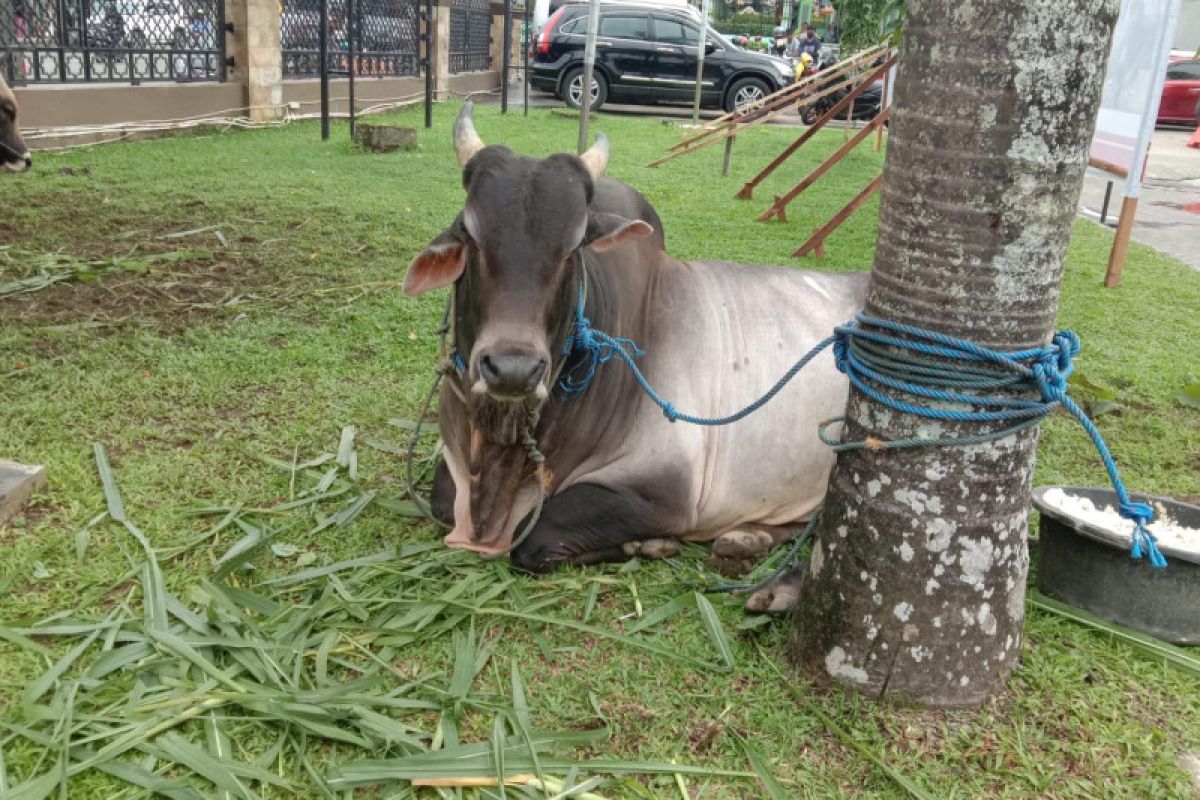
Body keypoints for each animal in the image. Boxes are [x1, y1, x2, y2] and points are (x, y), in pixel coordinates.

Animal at [408, 104, 868, 606]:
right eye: (470, 233)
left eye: (573, 248)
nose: (513, 370)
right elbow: (441, 502)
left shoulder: (663, 490)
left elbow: (533, 540)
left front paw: (648, 544)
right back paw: (747, 539)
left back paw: (780, 588)